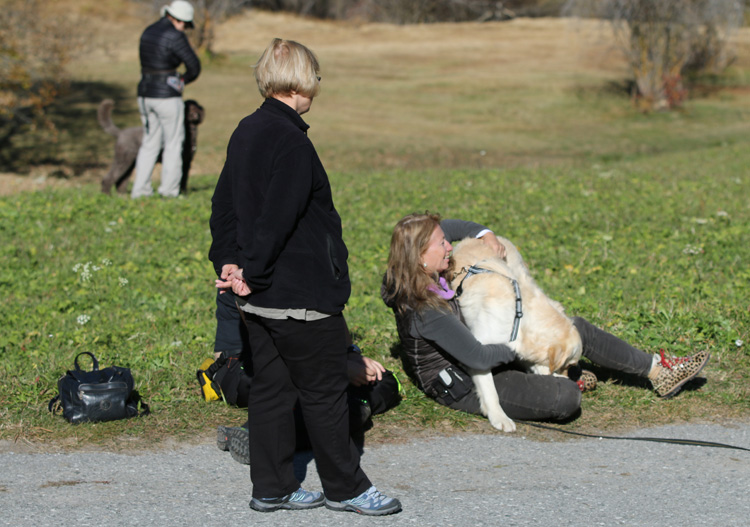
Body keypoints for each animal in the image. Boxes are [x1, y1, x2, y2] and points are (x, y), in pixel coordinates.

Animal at [450, 236, 584, 434]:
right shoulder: (478, 354)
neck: (519, 316)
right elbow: (491, 391)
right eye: (569, 365)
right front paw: (500, 417)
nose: (569, 378)